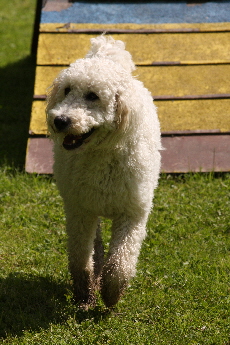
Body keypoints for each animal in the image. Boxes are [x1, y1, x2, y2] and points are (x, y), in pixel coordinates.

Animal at [46, 35, 162, 308]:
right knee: (96, 245)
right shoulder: (80, 211)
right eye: (67, 90)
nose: (60, 121)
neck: (101, 154)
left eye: (93, 96)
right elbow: (80, 257)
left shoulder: (132, 214)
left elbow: (120, 263)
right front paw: (85, 292)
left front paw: (111, 292)